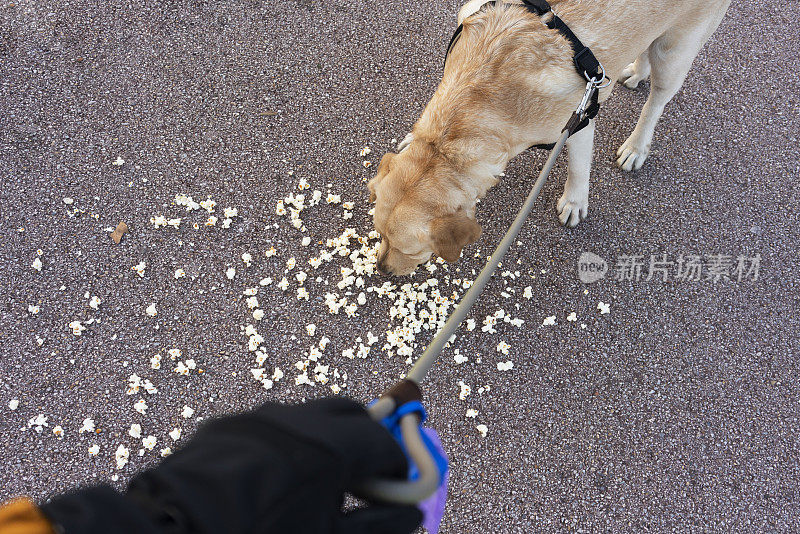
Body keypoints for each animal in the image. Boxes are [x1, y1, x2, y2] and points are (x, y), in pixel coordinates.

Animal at [368, 0, 732, 276]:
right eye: (379, 234)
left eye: (410, 249)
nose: (382, 270)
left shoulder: (581, 119)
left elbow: (578, 168)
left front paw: (574, 202)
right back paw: (637, 70)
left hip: (678, 50)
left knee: (657, 100)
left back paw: (636, 146)